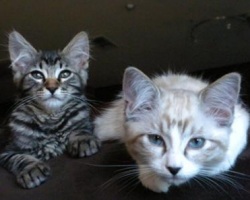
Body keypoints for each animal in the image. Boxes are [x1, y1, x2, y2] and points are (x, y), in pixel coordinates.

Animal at [0, 31, 99, 189]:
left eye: (65, 74)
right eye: (37, 75)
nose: (52, 88)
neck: (51, 117)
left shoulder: (87, 122)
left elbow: (81, 128)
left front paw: (82, 139)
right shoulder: (7, 150)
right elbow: (20, 158)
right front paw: (31, 168)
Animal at [94, 67, 249, 194]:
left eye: (197, 142)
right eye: (155, 139)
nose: (174, 169)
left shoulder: (243, 119)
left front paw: (215, 164)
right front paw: (151, 176)